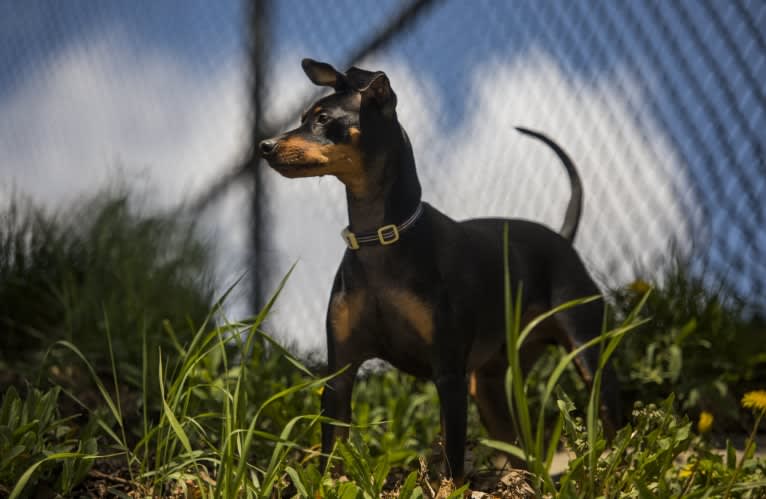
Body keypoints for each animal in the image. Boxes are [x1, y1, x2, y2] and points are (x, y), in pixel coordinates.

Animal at [258, 59, 616, 484]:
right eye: (302, 118)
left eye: (324, 119)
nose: (265, 146)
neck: (381, 238)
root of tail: (562, 238)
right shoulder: (339, 375)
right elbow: (332, 451)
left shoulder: (448, 375)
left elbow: (453, 464)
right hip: (490, 386)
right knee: (519, 452)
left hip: (588, 353)